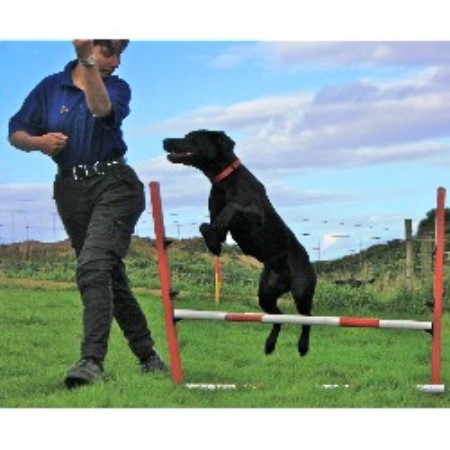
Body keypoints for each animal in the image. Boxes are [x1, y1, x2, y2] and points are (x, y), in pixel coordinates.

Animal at [163, 130, 316, 358]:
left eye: (192, 137)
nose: (164, 141)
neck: (224, 180)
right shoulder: (216, 216)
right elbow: (206, 226)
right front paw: (213, 242)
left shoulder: (254, 214)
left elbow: (233, 207)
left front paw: (217, 231)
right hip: (266, 293)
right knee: (278, 317)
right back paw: (269, 345)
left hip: (301, 291)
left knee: (307, 319)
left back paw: (303, 347)